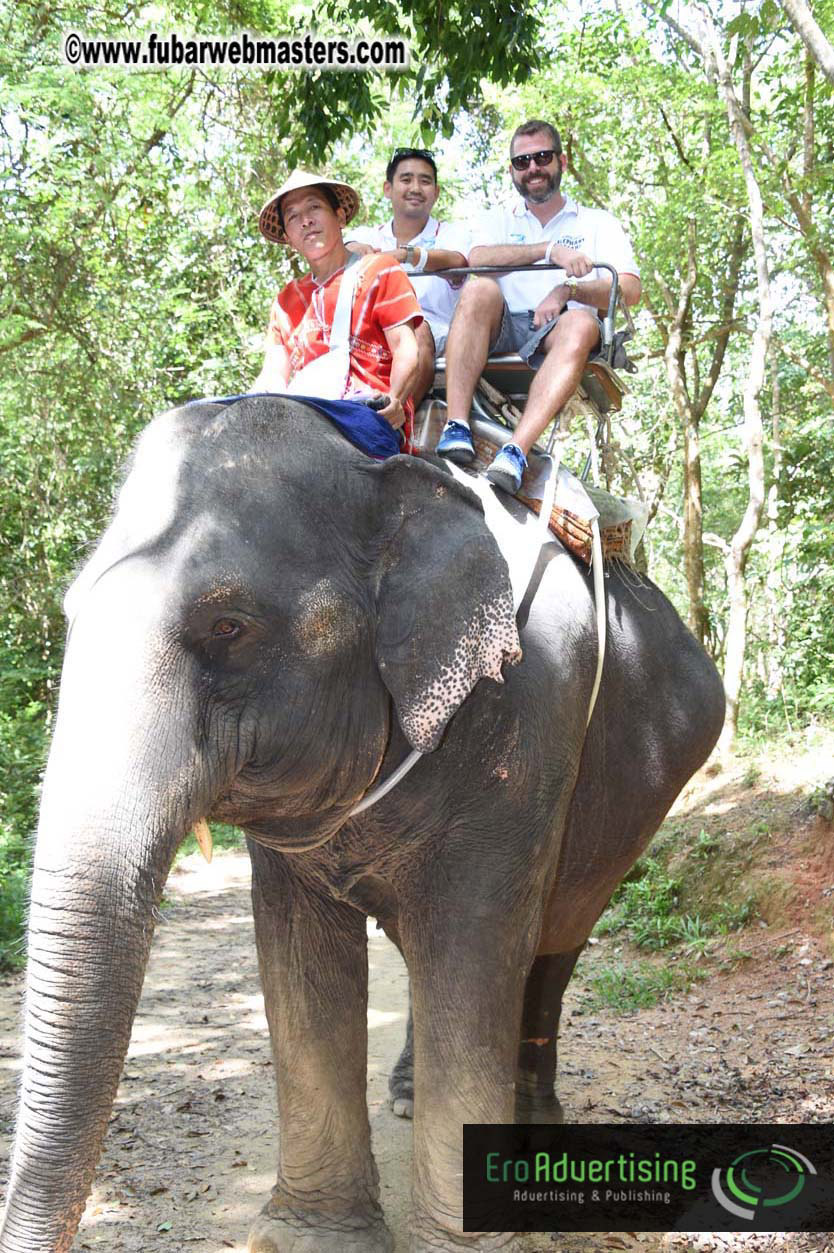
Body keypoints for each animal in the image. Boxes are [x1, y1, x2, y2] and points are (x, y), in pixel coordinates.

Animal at [0, 395, 725, 1253]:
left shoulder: (531, 713)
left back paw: (532, 1134)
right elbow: (300, 953)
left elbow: (476, 942)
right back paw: (409, 1093)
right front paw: (312, 1237)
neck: (382, 474)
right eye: (71, 612)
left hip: (637, 799)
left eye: (229, 627)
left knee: (553, 942)